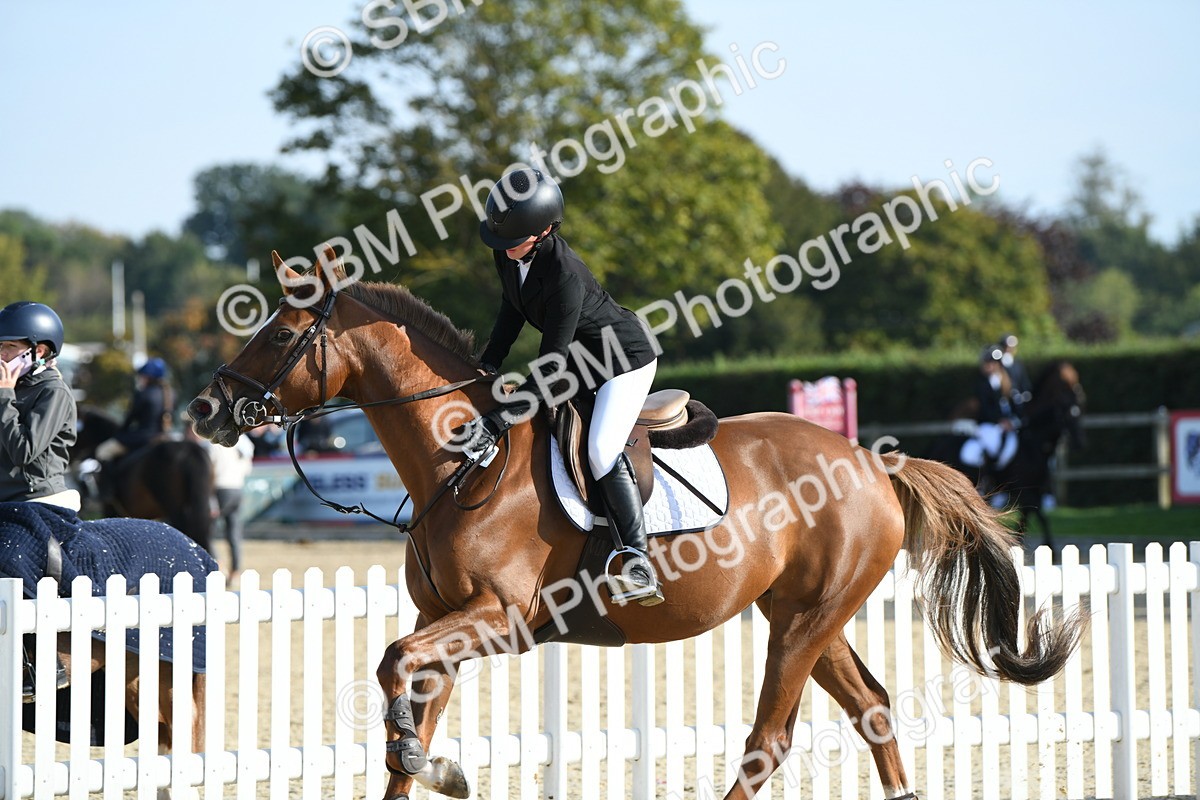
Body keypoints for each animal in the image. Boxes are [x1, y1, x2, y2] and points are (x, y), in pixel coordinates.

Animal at [927, 362, 1086, 547]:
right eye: (1064, 416)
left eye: (1080, 412)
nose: (1080, 444)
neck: (1032, 443)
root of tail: (938, 444)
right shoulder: (1025, 490)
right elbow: (1041, 516)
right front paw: (1049, 547)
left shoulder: (1035, 489)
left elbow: (1028, 517)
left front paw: (1017, 542)